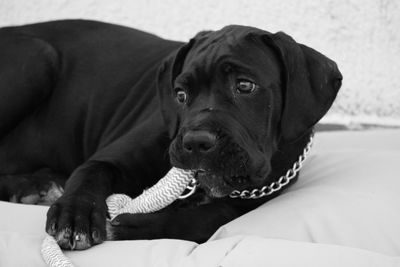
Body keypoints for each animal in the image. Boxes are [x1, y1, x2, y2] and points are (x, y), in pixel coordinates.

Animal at [0, 20, 340, 251]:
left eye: (245, 86)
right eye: (180, 94)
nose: (196, 142)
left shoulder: (254, 197)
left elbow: (209, 218)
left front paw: (137, 227)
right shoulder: (109, 161)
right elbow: (88, 175)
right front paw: (74, 215)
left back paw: (38, 184)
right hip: (38, 57)